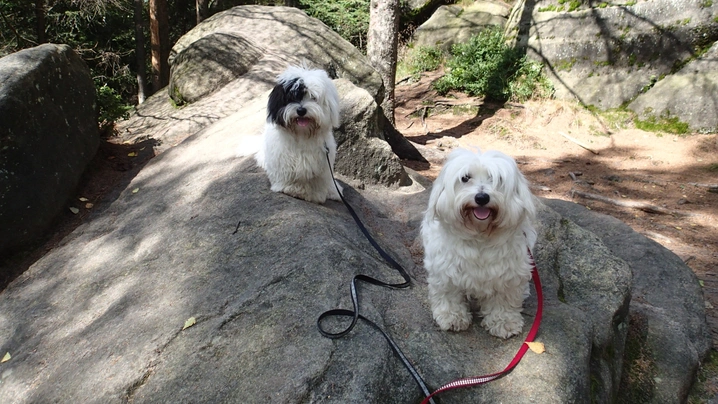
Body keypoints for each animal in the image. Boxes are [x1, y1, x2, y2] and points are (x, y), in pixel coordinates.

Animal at [258, 67, 344, 205]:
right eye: (292, 97)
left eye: (313, 97)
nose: (301, 110)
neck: (302, 134)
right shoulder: (283, 159)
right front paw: (296, 189)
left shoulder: (323, 161)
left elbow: (320, 180)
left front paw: (319, 194)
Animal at [424, 148, 536, 338]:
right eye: (465, 178)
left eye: (497, 179)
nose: (482, 197)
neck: (480, 236)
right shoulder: (445, 271)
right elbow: (449, 294)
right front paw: (452, 317)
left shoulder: (507, 274)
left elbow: (503, 300)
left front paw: (504, 322)